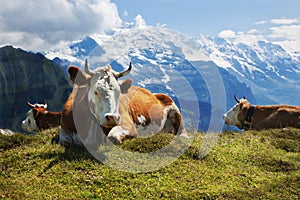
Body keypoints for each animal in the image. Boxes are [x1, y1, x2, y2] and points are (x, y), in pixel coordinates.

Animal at [57, 59, 186, 145]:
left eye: (119, 92)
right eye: (96, 91)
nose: (113, 117)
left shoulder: (128, 124)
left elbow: (112, 137)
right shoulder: (64, 128)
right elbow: (64, 140)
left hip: (174, 108)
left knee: (182, 131)